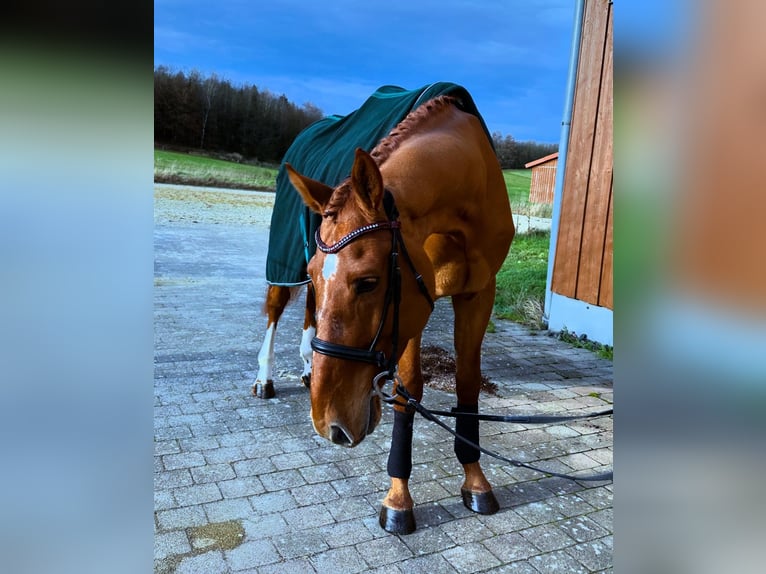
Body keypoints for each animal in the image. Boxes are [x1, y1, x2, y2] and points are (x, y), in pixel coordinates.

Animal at [284, 97, 516, 536]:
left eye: (368, 282)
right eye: (314, 272)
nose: (327, 422)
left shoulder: (478, 294)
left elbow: (468, 383)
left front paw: (476, 480)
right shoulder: (415, 305)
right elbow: (408, 392)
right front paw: (398, 498)